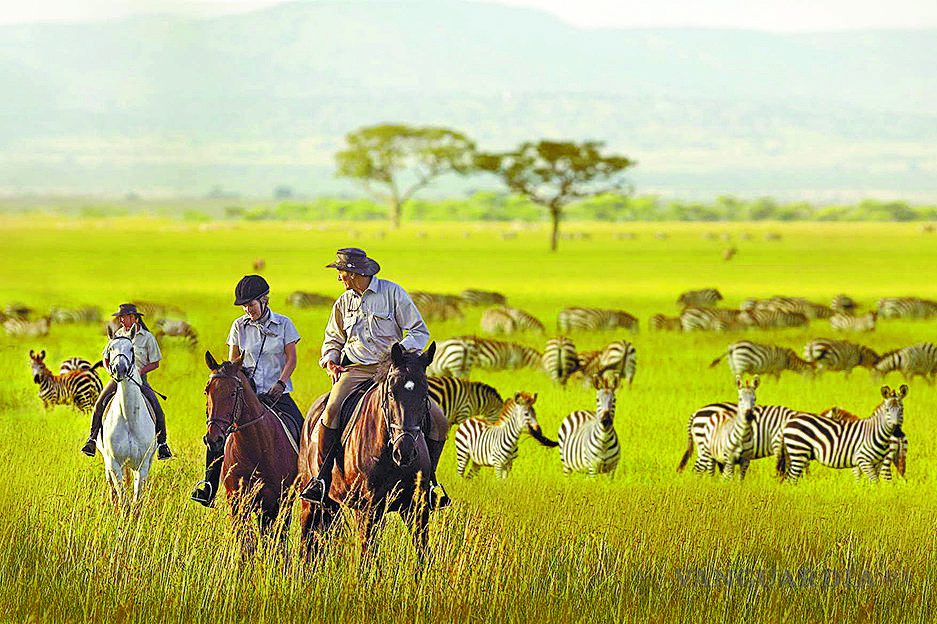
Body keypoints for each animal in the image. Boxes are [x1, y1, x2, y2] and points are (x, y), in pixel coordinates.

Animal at [98, 326, 156, 508]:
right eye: (111, 348)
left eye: (131, 349)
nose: (120, 369)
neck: (129, 418)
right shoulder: (114, 463)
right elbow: (122, 498)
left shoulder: (142, 465)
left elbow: (137, 500)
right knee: (112, 486)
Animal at [205, 354, 300, 552]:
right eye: (206, 391)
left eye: (233, 393)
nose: (213, 440)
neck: (256, 449)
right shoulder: (237, 502)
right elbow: (244, 544)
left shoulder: (276, 502)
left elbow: (274, 541)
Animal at [300, 342, 438, 572]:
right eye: (391, 393)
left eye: (424, 394)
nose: (404, 452)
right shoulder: (367, 510)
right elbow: (366, 559)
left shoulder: (416, 508)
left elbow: (423, 554)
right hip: (312, 503)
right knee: (306, 541)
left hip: (332, 505)